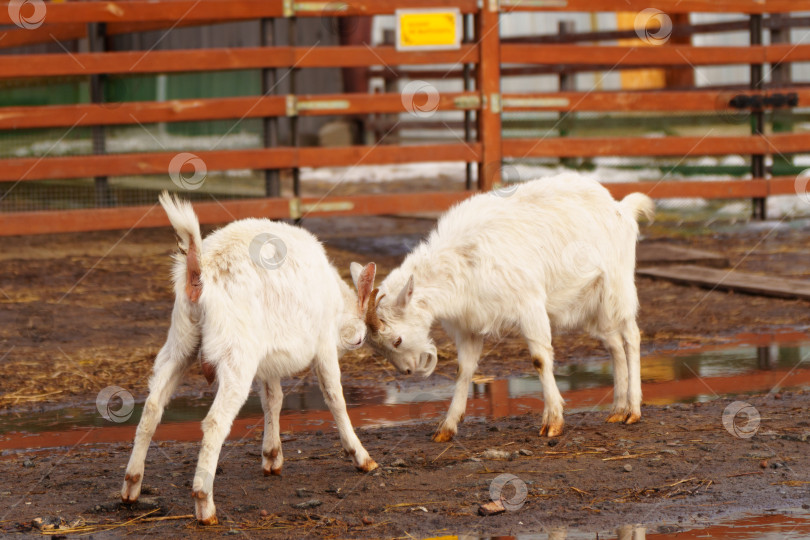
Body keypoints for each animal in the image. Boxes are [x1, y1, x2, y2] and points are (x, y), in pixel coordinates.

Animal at [120, 193, 378, 524]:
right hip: (235, 354)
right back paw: (204, 504)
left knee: (152, 407)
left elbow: (273, 399)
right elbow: (335, 398)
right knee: (214, 421)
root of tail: (200, 270)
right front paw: (361, 457)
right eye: (358, 338)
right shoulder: (322, 345)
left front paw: (272, 457)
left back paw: (131, 487)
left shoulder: (267, 358)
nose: (356, 341)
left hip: (180, 342)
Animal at [362, 175, 652, 440]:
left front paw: (553, 421)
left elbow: (540, 359)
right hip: (593, 304)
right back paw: (617, 410)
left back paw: (633, 411)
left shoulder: (530, 304)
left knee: (631, 336)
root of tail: (620, 208)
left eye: (397, 340)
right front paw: (446, 427)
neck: (463, 259)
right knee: (613, 344)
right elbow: (463, 369)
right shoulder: (469, 324)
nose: (410, 370)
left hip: (618, 286)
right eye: (378, 348)